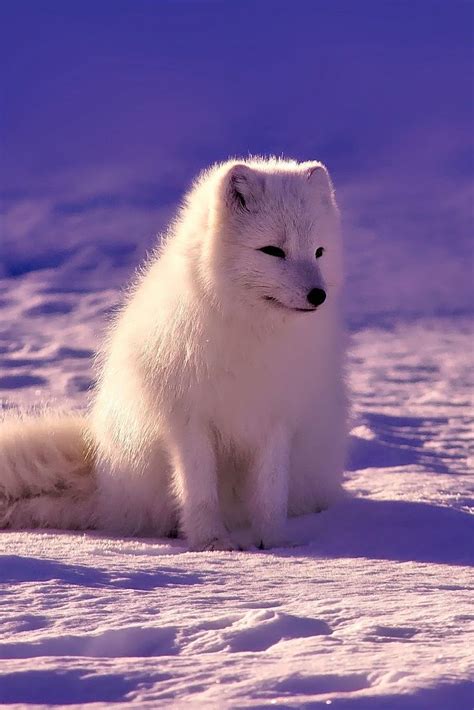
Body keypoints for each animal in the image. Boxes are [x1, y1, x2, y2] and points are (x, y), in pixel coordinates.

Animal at [0, 159, 348, 552]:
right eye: (273, 250)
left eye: (319, 251)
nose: (318, 295)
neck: (252, 334)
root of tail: (106, 485)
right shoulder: (188, 420)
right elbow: (198, 491)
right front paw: (212, 542)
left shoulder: (275, 420)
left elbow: (270, 494)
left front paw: (274, 543)